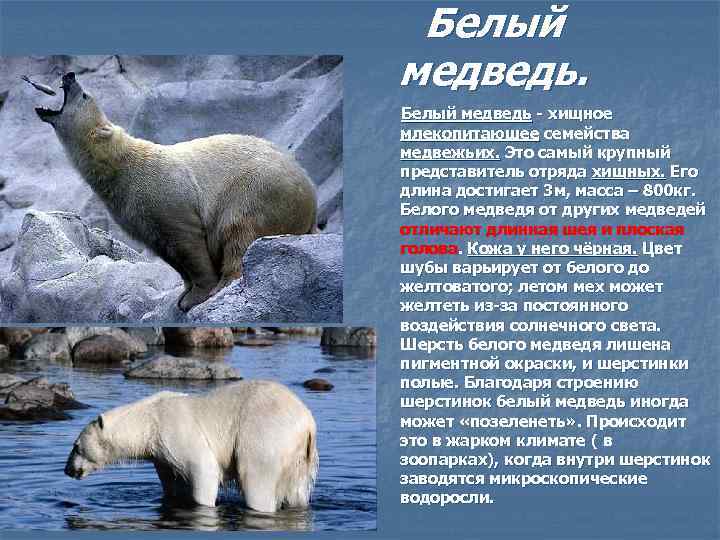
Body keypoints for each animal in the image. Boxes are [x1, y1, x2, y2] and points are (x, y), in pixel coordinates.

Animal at [35, 72, 317, 311]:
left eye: (84, 95)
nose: (70, 75)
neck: (121, 164)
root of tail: (312, 203)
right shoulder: (137, 214)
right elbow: (166, 248)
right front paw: (183, 293)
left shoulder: (166, 196)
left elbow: (187, 243)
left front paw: (194, 297)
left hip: (261, 190)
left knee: (239, 230)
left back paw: (226, 281)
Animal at [64, 380, 318, 512]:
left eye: (76, 446)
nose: (68, 470)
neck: (148, 420)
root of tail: (307, 422)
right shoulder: (162, 456)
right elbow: (173, 484)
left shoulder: (175, 430)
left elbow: (204, 469)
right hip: (300, 457)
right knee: (296, 490)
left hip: (264, 434)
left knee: (256, 478)